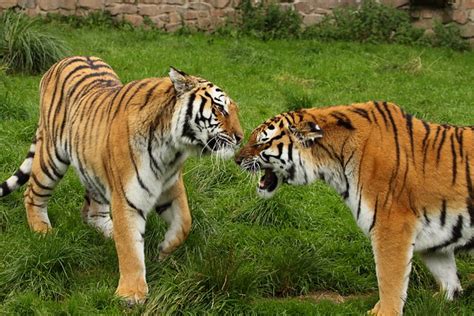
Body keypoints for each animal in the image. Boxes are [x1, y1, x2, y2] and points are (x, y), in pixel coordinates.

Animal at [0, 56, 244, 304]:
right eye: (219, 108)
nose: (240, 138)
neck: (172, 148)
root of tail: (64, 60)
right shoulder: (128, 196)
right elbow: (129, 247)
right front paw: (131, 294)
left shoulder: (171, 187)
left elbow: (185, 222)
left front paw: (164, 249)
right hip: (51, 157)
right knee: (32, 194)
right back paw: (42, 231)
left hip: (92, 165)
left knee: (91, 211)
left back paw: (108, 230)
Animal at [237, 102, 474, 316]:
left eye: (262, 142)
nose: (237, 160)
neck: (333, 161)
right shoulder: (434, 237)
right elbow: (447, 278)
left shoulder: (391, 227)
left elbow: (389, 279)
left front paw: (385, 312)